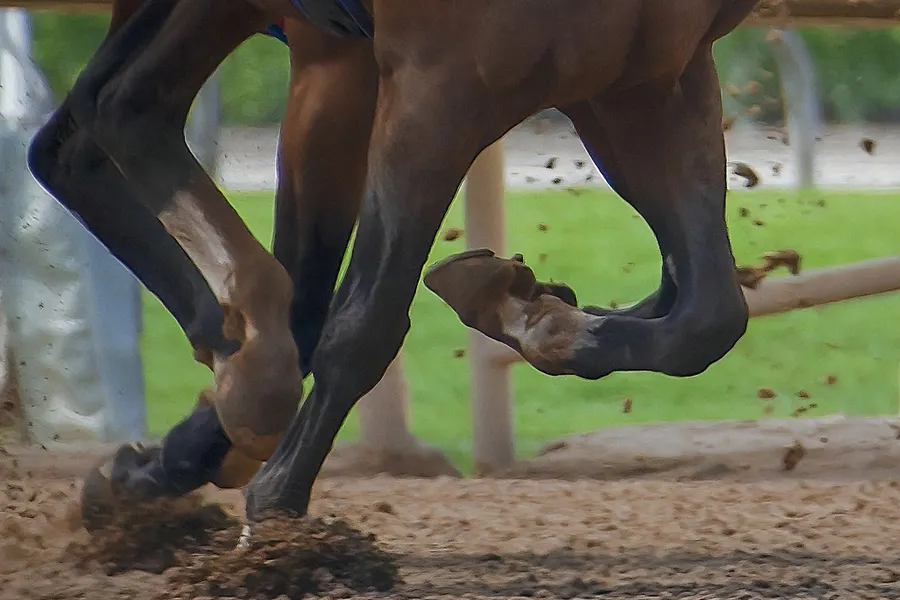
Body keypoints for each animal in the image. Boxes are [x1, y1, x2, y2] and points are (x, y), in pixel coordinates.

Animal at [27, 0, 760, 529]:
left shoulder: (648, 77)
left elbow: (709, 318)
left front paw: (532, 312)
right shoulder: (434, 78)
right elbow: (365, 322)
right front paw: (279, 509)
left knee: (80, 137)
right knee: (118, 106)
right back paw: (247, 377)